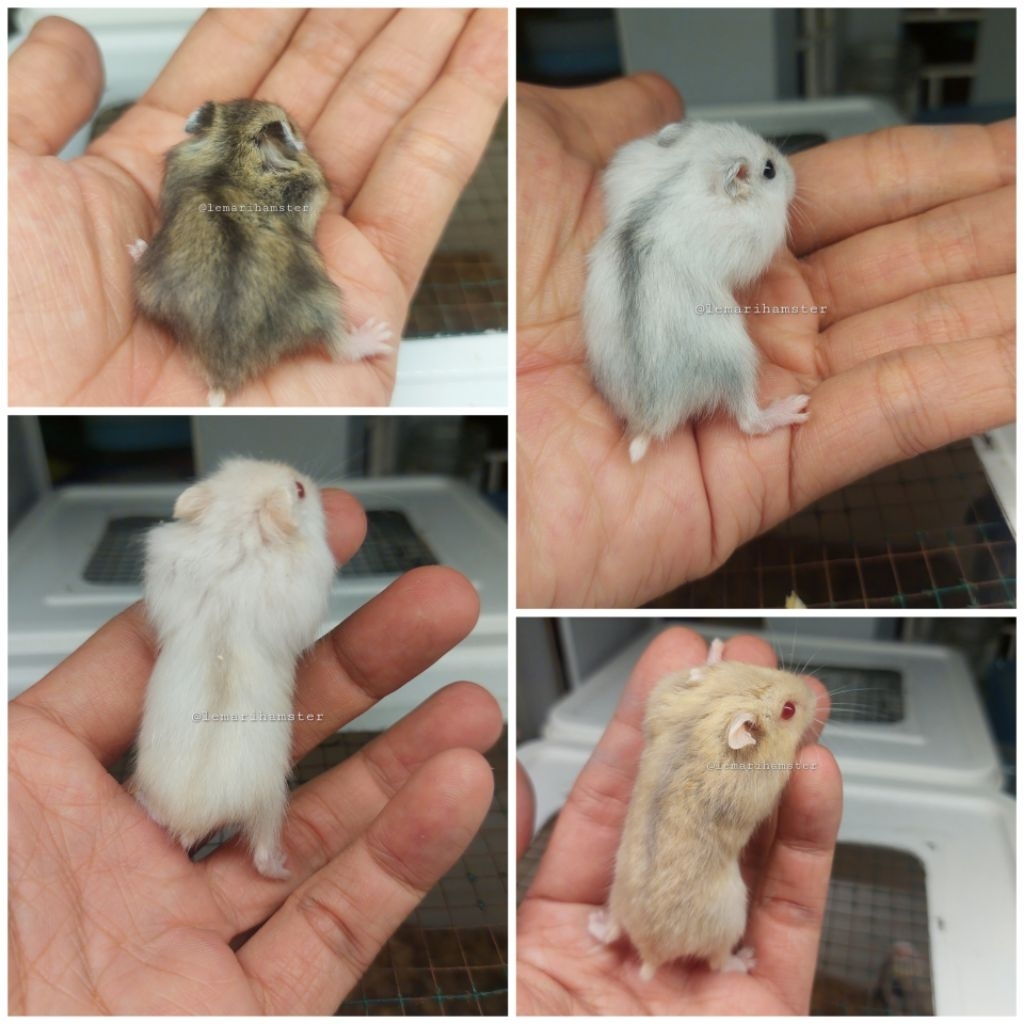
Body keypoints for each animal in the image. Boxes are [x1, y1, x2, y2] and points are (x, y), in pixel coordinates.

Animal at [132, 457, 336, 879]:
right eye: (299, 490)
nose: (310, 482)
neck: (241, 534)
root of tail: (191, 821)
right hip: (270, 799)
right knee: (261, 851)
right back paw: (284, 869)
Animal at [133, 99, 392, 405]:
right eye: (289, 125)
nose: (297, 128)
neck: (230, 161)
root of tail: (224, 372)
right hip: (321, 302)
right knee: (339, 347)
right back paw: (378, 336)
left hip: (149, 289)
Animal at [583, 120, 810, 462]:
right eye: (769, 169)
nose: (794, 173)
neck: (689, 169)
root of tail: (652, 417)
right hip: (735, 358)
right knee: (748, 420)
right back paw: (792, 408)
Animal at [589, 639, 817, 979]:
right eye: (788, 710)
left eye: (756, 667)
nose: (814, 693)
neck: (706, 715)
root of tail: (650, 954)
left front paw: (715, 652)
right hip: (730, 920)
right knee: (717, 963)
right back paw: (746, 960)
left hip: (617, 902)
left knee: (613, 932)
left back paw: (594, 925)